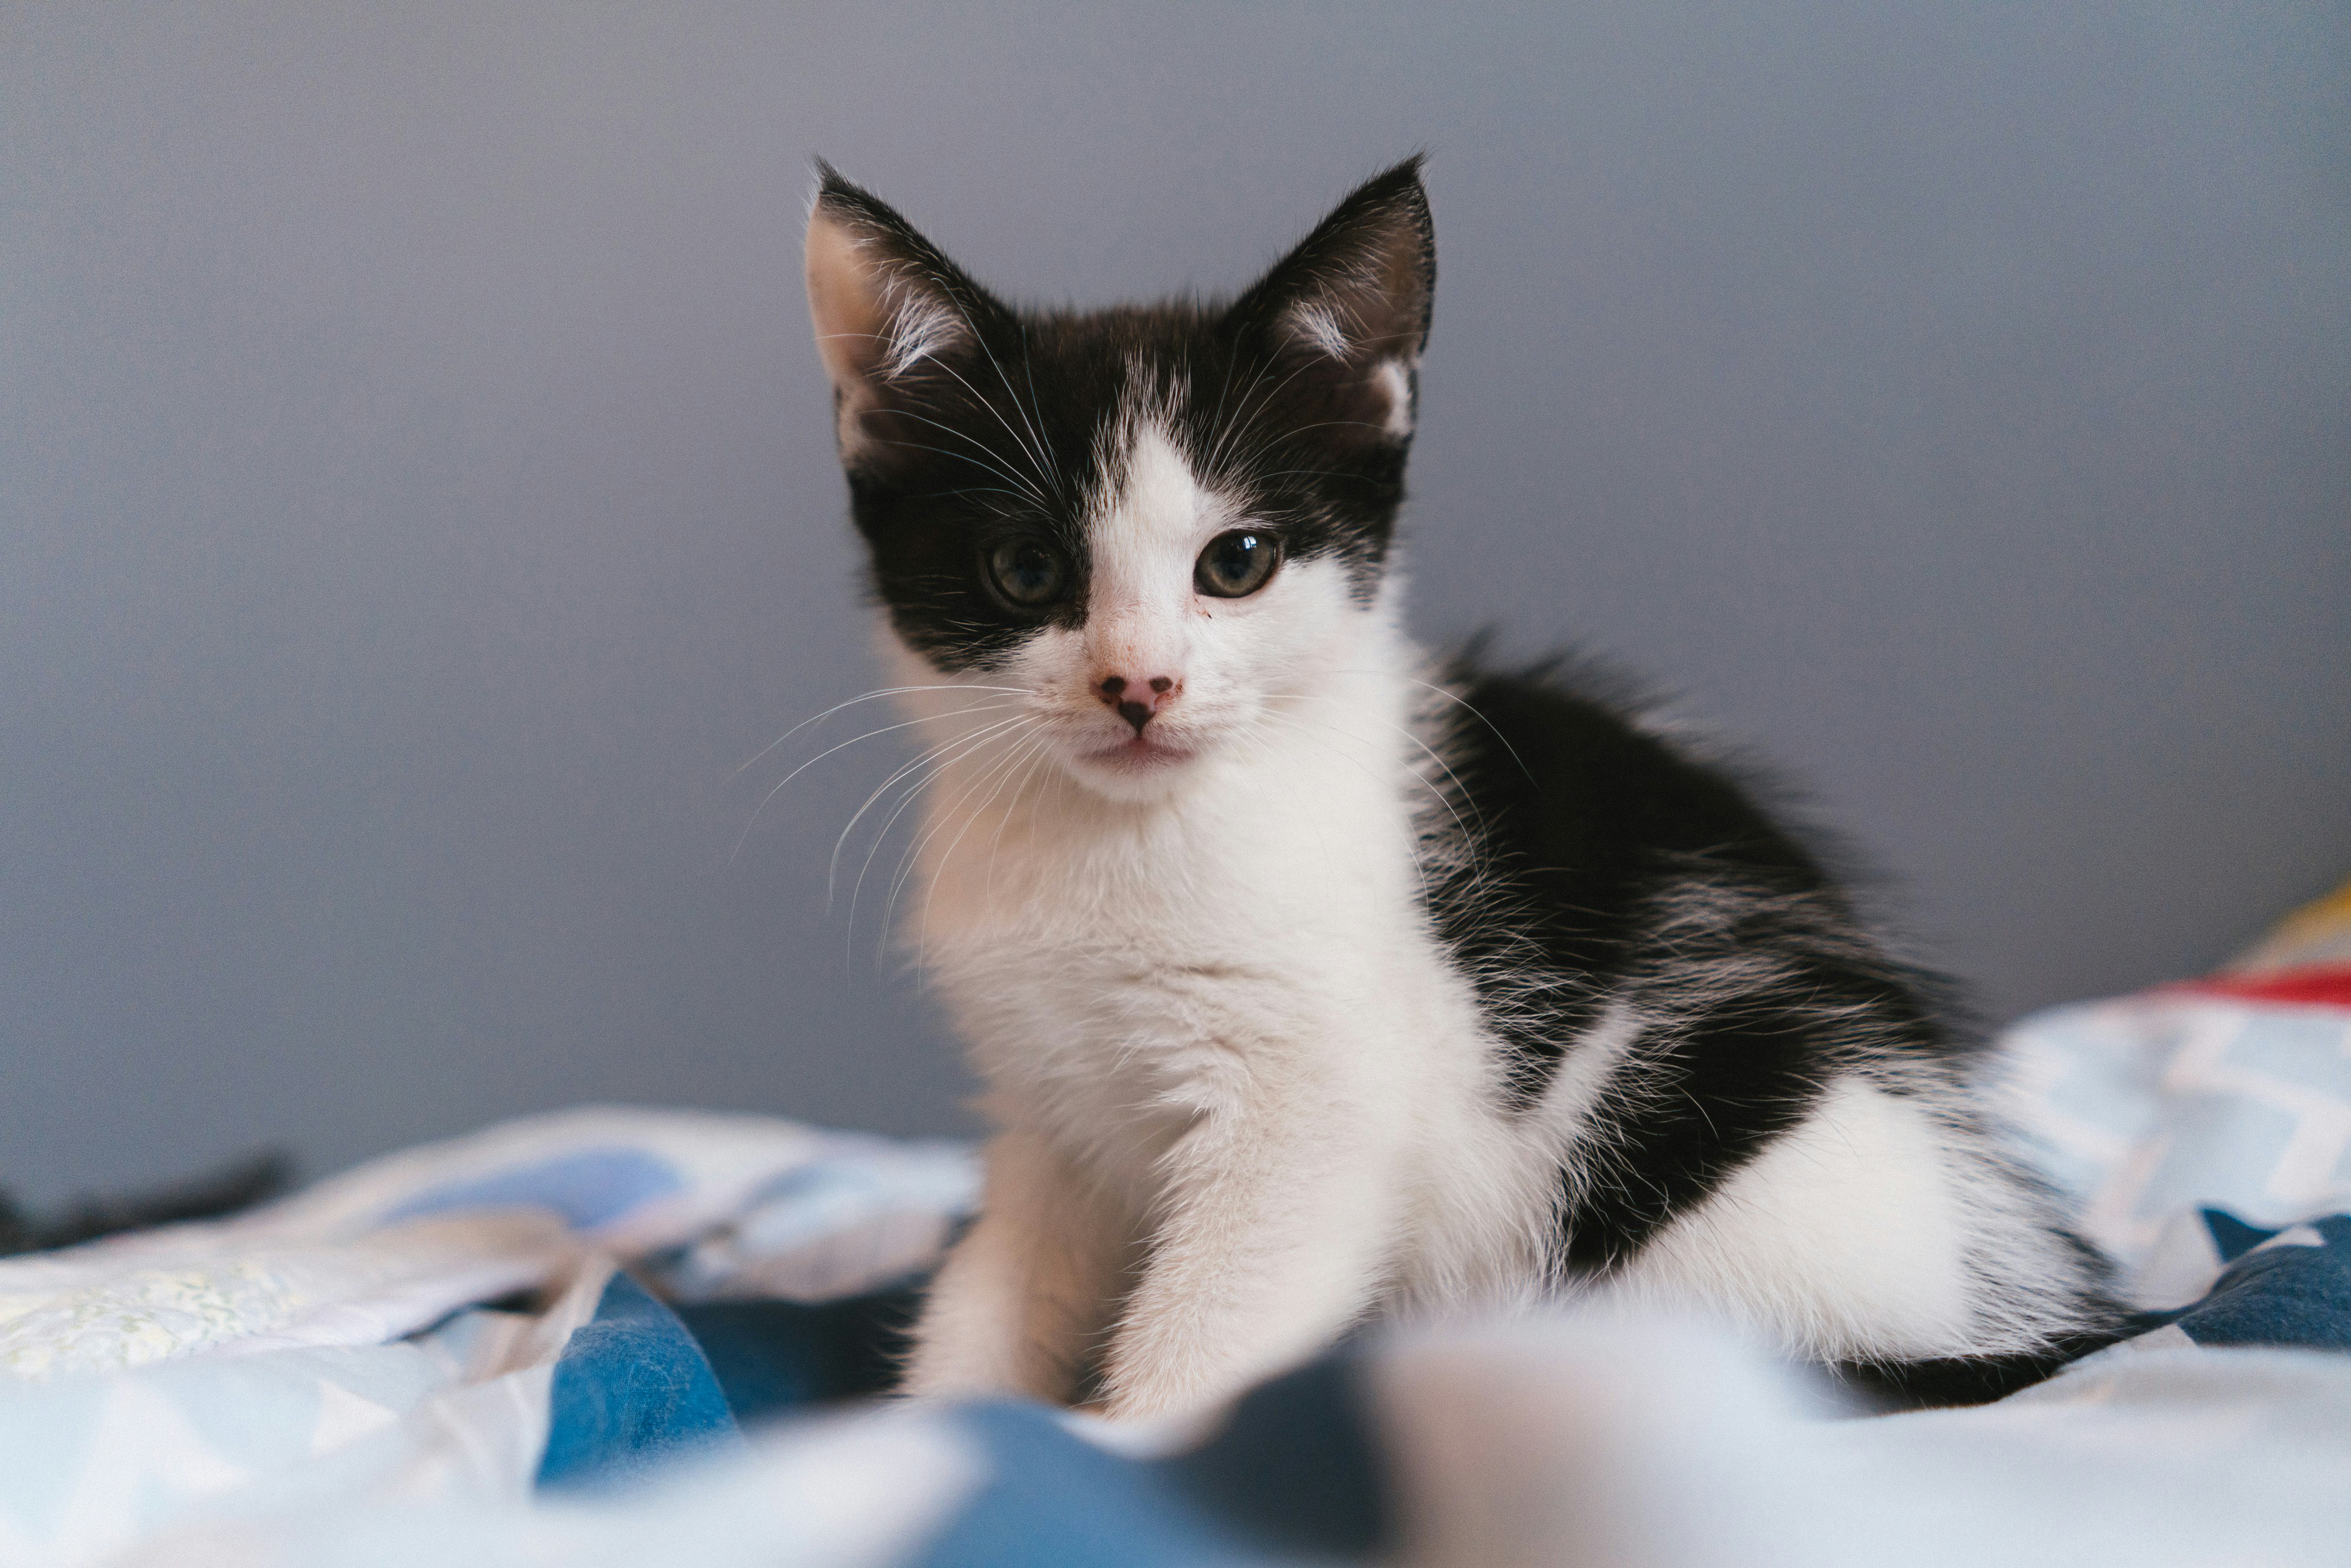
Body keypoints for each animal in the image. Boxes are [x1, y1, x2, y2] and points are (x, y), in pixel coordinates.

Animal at [795, 160, 2116, 1420]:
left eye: (1237, 561)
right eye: (1024, 570)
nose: (1139, 684)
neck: (1119, 836)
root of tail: (2043, 1313)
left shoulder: (1321, 1097)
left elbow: (1215, 1315)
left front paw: (1127, 1440)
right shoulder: (1051, 1111)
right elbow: (1004, 1279)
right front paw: (929, 1424)